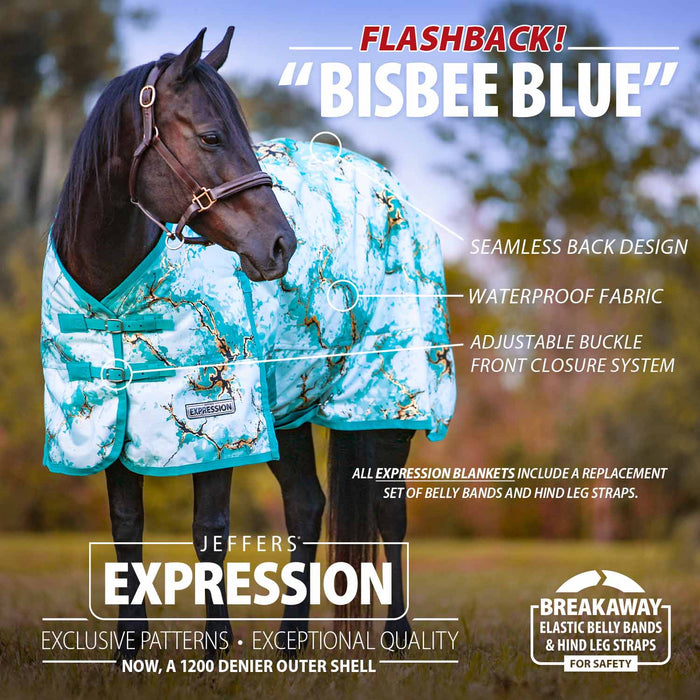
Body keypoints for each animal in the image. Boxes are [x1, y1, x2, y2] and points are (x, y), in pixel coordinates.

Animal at [42, 27, 455, 661]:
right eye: (212, 136)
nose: (281, 244)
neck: (113, 296)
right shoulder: (116, 417)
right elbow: (126, 525)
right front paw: (129, 651)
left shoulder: (218, 417)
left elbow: (209, 531)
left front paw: (217, 649)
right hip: (290, 407)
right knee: (308, 505)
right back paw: (290, 642)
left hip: (386, 401)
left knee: (390, 512)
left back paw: (398, 638)